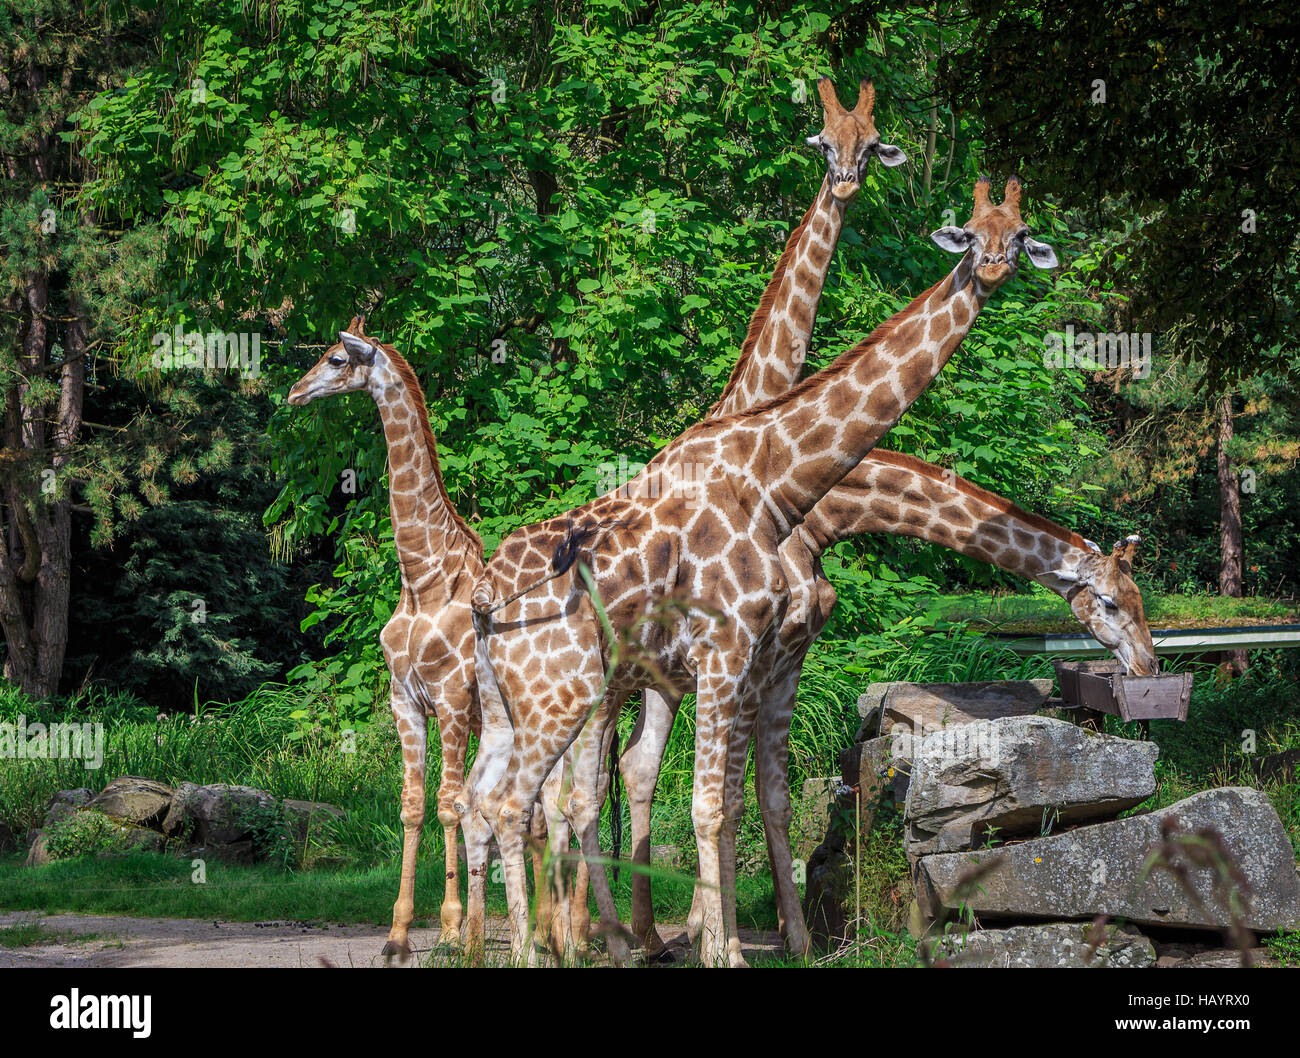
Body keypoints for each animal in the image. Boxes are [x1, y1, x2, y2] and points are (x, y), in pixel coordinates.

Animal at [465, 175, 1055, 967]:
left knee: (536, 800)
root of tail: (485, 599)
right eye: (972, 231)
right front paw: (726, 949)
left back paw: (568, 939)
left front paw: (764, 938)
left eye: (1020, 234)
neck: (770, 483)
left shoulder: (759, 662)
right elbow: (709, 804)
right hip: (563, 698)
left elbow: (744, 798)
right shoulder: (728, 655)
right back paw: (560, 945)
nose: (991, 267)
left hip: (542, 701)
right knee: (528, 802)